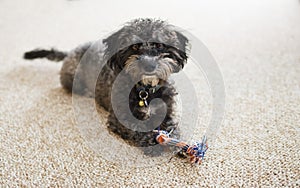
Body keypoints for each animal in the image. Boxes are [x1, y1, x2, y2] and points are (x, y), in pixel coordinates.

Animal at [24, 18, 189, 155]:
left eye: (160, 45)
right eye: (135, 46)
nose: (149, 64)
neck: (146, 90)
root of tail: (70, 52)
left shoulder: (168, 110)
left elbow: (170, 126)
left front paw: (177, 143)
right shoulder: (121, 118)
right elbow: (138, 127)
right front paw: (152, 142)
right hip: (72, 80)